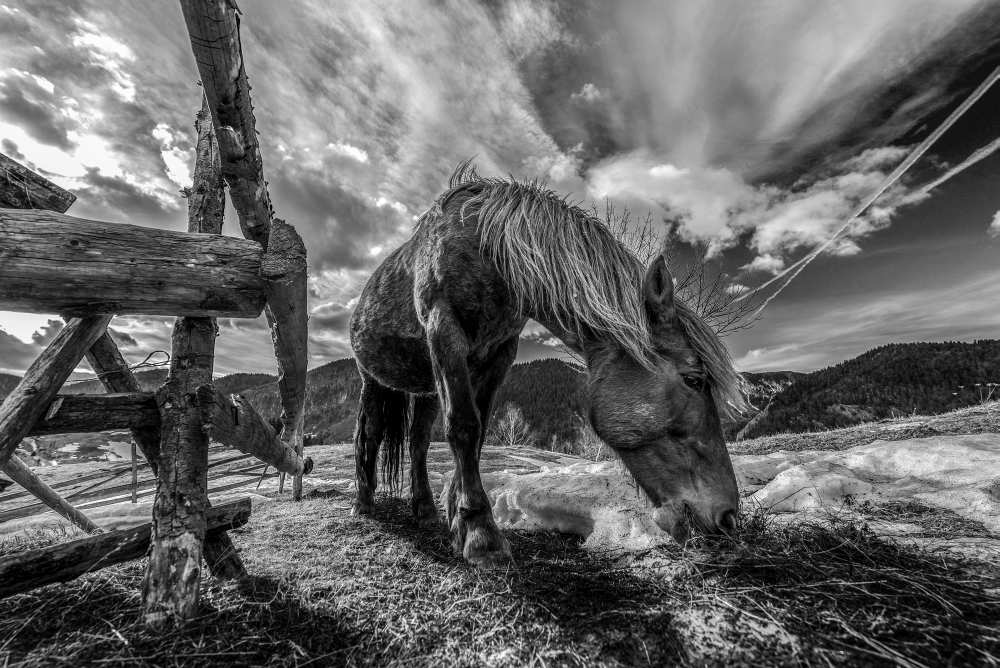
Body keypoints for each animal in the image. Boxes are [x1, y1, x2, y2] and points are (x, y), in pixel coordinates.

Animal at [349, 162, 746, 567]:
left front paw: (458, 519)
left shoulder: (498, 355)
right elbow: (463, 427)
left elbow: (477, 434)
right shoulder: (445, 331)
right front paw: (480, 534)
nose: (729, 516)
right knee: (368, 435)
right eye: (694, 379)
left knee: (417, 443)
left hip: (427, 386)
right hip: (373, 380)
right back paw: (363, 504)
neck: (485, 249)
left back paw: (425, 509)